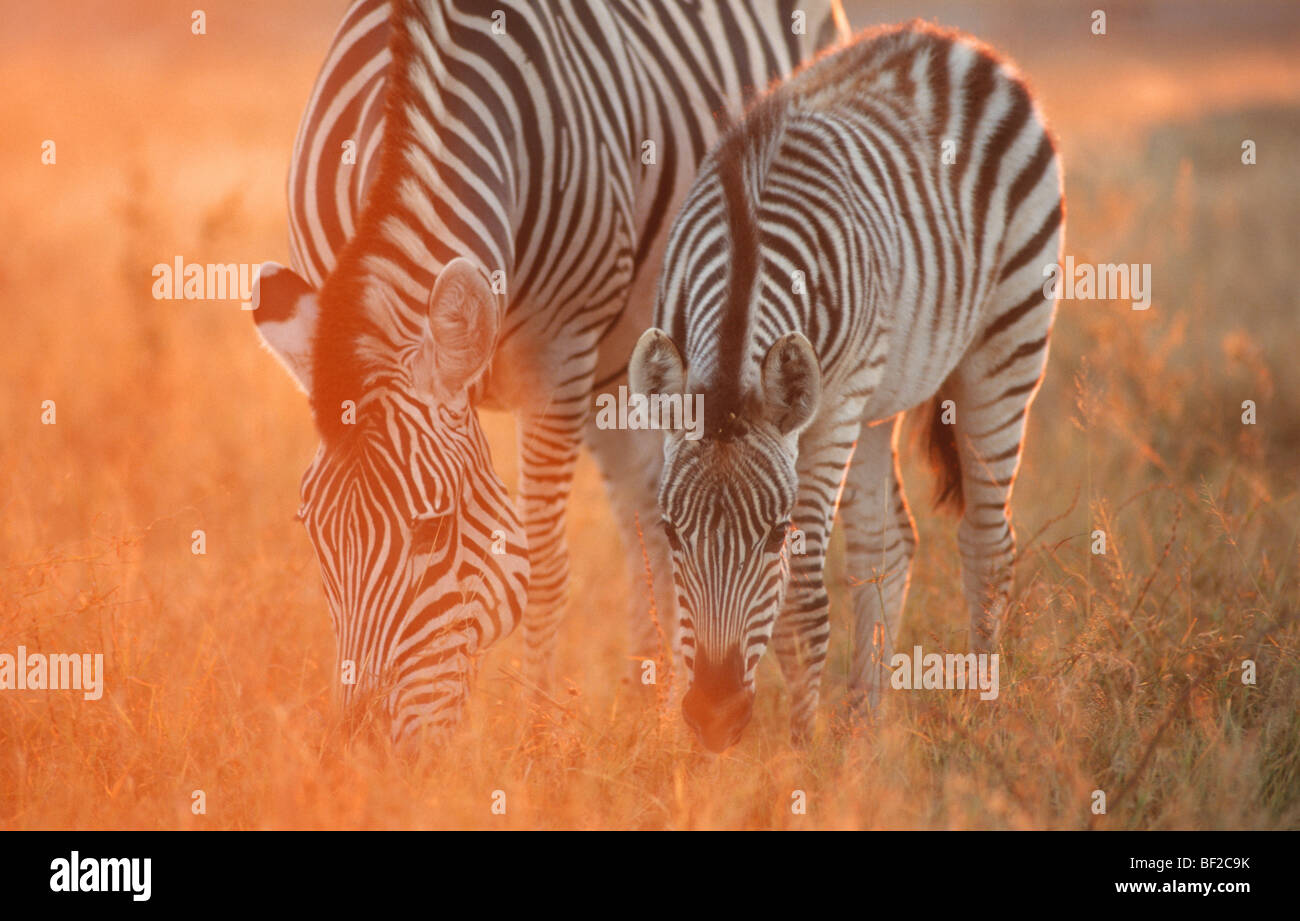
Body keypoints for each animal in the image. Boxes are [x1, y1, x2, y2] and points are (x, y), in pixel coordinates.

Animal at [250, 0, 852, 738]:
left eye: (433, 529)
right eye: (313, 529)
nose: (361, 747)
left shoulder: (556, 356)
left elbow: (541, 567)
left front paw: (530, 738)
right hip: (620, 373)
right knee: (649, 518)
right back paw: (649, 707)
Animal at [629, 21, 1066, 754]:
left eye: (776, 535)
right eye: (670, 530)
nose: (715, 713)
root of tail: (949, 39)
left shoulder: (832, 409)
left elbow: (802, 605)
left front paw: (801, 759)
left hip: (1008, 339)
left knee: (987, 545)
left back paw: (982, 723)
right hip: (879, 397)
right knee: (888, 545)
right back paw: (865, 729)